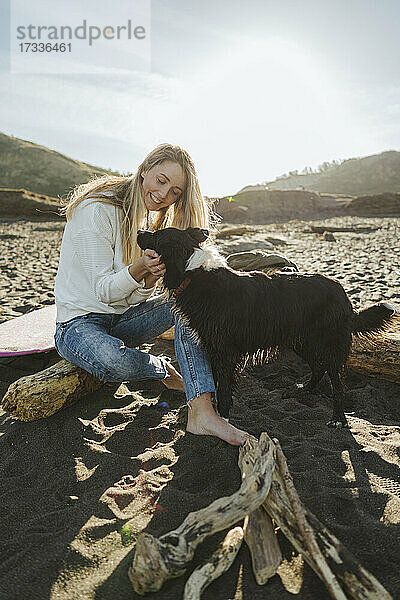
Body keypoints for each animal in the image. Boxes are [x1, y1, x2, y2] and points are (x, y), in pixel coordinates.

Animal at [138, 225, 396, 426]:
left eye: (156, 234)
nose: (140, 231)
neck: (193, 272)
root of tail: (344, 295)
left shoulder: (225, 352)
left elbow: (224, 388)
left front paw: (223, 418)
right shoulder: (212, 349)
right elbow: (215, 383)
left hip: (329, 343)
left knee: (337, 381)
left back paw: (338, 418)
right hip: (302, 341)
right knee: (318, 367)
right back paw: (305, 389)